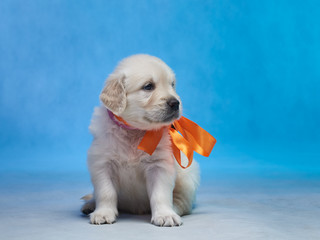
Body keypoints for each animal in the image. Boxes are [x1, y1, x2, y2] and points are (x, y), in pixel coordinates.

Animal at [81, 54, 199, 227]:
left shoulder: (160, 166)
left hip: (187, 177)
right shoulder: (102, 164)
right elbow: (106, 192)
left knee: (183, 202)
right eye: (148, 86)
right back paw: (89, 205)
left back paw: (174, 210)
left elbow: (160, 194)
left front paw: (165, 215)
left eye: (172, 85)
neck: (135, 131)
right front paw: (103, 213)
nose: (176, 103)